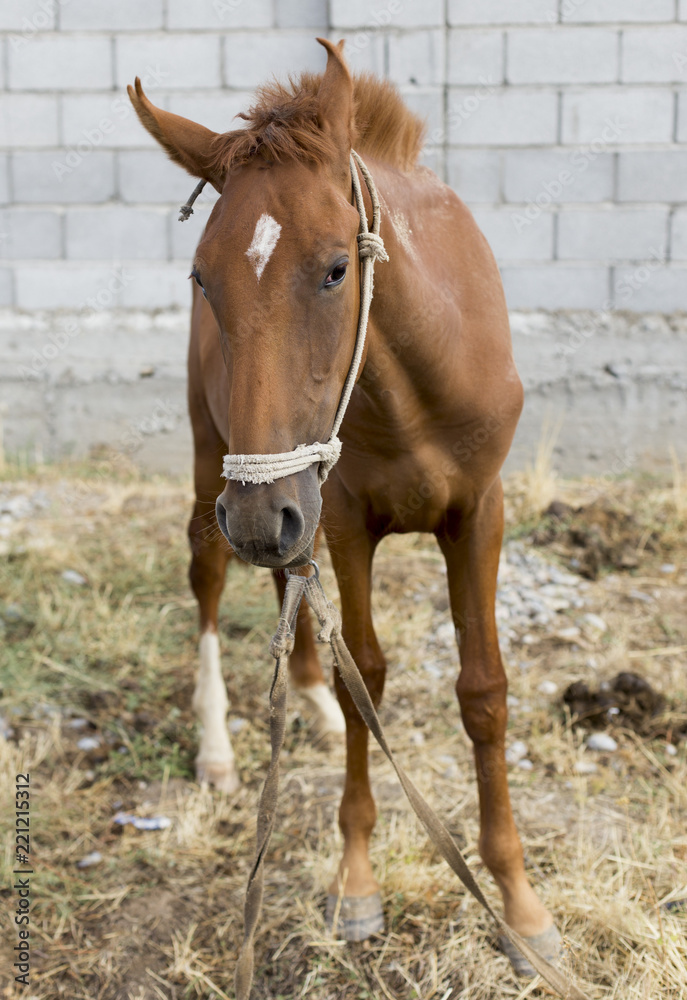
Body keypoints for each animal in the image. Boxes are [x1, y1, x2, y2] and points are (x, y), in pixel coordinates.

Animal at [128, 37, 561, 972]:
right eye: (202, 279)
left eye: (335, 269)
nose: (258, 517)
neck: (416, 386)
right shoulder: (345, 520)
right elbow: (363, 667)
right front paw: (356, 883)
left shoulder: (477, 511)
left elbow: (483, 689)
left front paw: (519, 908)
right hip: (224, 469)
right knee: (211, 574)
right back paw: (217, 747)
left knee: (280, 579)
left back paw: (311, 711)